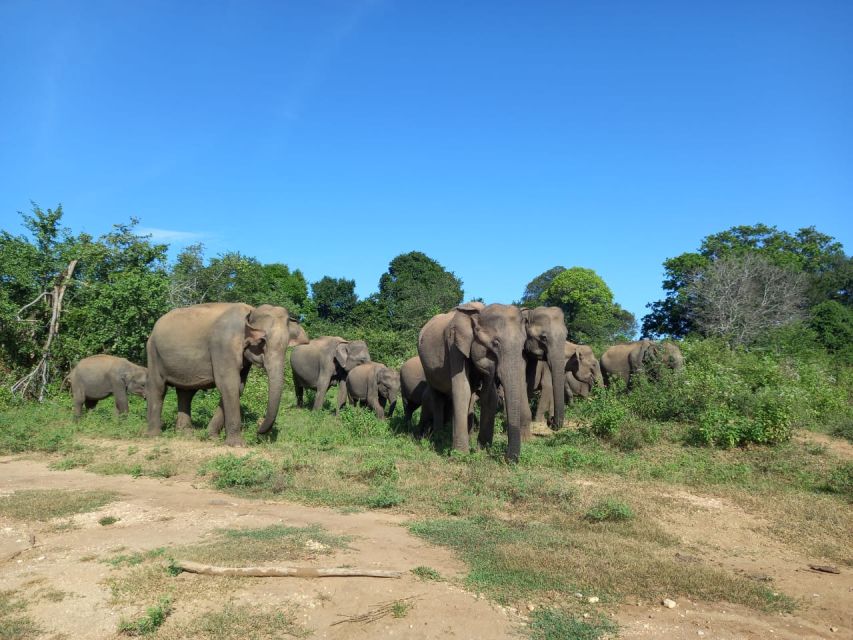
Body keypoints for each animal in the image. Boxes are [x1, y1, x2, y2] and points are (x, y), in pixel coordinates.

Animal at [146, 304, 292, 444]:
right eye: (262, 341)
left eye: (286, 346)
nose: (258, 428)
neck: (251, 311)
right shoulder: (223, 345)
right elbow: (228, 384)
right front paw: (237, 444)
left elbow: (238, 387)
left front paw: (211, 437)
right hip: (153, 351)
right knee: (158, 388)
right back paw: (154, 435)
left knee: (186, 393)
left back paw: (185, 433)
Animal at [418, 302, 528, 462]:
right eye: (495, 343)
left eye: (523, 345)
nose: (507, 459)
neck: (479, 312)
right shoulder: (454, 346)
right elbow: (462, 389)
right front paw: (460, 455)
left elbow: (489, 396)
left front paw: (482, 449)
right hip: (426, 367)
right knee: (437, 396)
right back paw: (438, 437)